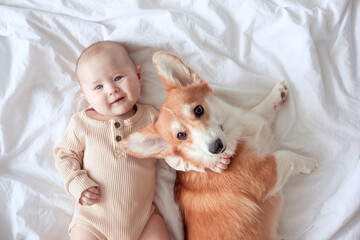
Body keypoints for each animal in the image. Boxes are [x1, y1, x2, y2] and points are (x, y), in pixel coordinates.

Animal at [121, 52, 318, 240]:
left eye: (198, 110)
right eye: (181, 136)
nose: (215, 147)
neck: (235, 136)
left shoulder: (255, 119)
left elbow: (261, 110)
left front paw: (276, 94)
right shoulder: (262, 176)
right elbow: (286, 156)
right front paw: (309, 163)